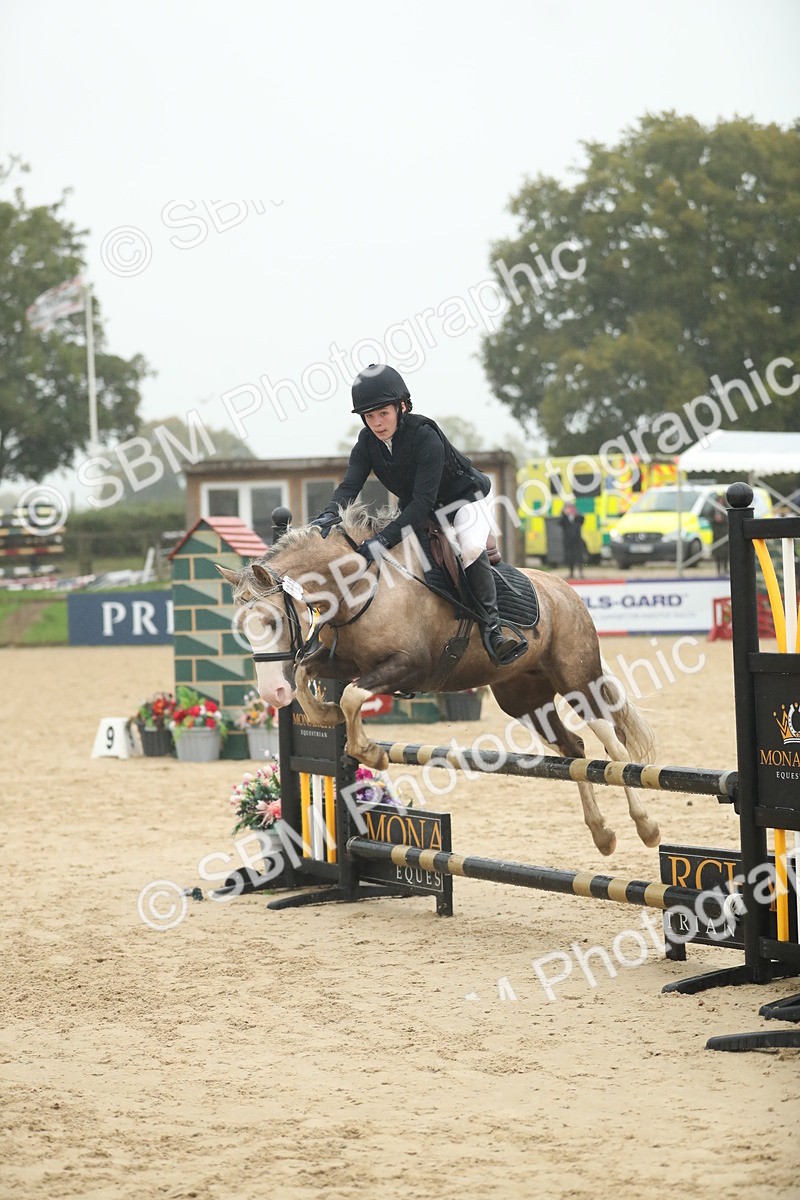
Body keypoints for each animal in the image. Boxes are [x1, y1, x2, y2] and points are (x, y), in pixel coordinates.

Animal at [218, 503, 660, 856]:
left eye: (272, 621)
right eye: (241, 626)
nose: (271, 692)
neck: (358, 588)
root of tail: (565, 591)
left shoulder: (409, 665)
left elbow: (352, 698)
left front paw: (372, 754)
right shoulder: (342, 662)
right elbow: (309, 679)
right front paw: (326, 717)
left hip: (577, 681)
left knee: (613, 746)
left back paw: (647, 826)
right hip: (524, 700)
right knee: (574, 749)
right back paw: (602, 834)